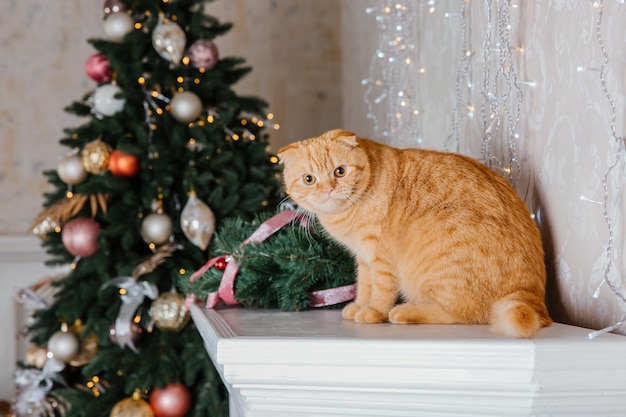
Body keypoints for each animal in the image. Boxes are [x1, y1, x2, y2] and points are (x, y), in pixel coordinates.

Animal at [280, 128, 552, 336]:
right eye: (309, 179)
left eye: (340, 171)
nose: (327, 190)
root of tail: (534, 297)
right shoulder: (364, 258)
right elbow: (364, 286)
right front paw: (359, 306)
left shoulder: (380, 258)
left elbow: (381, 290)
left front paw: (374, 311)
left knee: (466, 314)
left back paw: (406, 311)